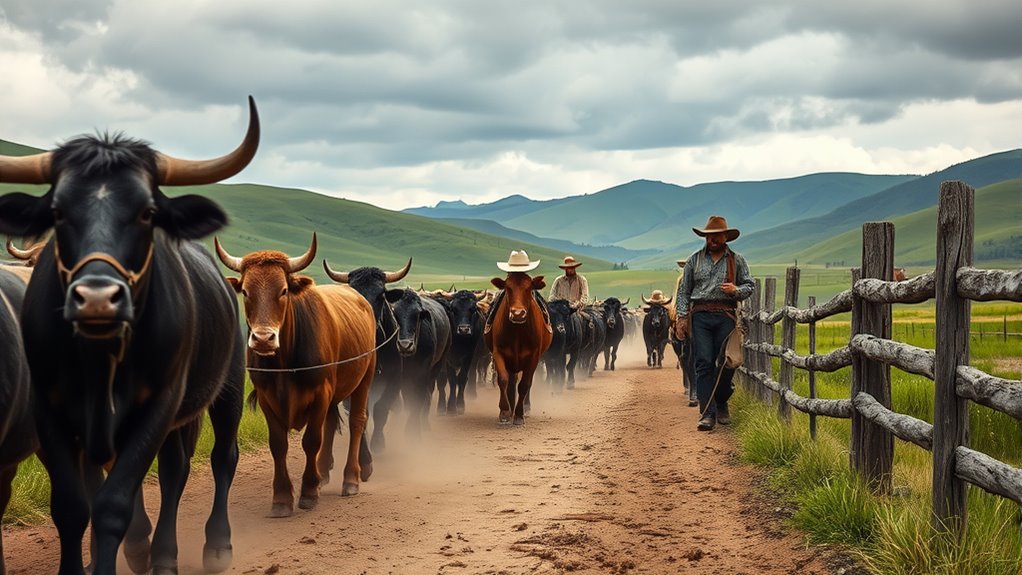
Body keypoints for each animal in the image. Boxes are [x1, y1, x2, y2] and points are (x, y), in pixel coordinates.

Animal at [0, 98, 258, 575]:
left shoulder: (157, 405)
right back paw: (151, 549)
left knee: (215, 460)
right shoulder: (53, 413)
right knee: (175, 468)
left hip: (227, 387)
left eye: (147, 212)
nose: (98, 298)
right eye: (57, 211)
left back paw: (207, 546)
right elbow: (73, 505)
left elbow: (112, 504)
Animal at [216, 234, 377, 517]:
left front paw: (309, 492)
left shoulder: (321, 393)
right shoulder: (267, 398)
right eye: (245, 291)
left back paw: (351, 479)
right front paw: (282, 498)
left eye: (283, 290)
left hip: (364, 380)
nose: (263, 338)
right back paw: (323, 474)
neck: (284, 364)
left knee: (357, 422)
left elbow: (311, 440)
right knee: (331, 423)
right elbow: (278, 444)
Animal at [385, 288, 451, 437]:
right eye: (396, 315)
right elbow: (409, 398)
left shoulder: (423, 373)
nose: (405, 345)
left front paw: (414, 431)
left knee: (429, 393)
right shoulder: (404, 375)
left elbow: (420, 397)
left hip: (438, 364)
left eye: (416, 315)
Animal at [485, 273, 553, 425]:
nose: (517, 314)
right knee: (511, 382)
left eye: (529, 288)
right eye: (507, 288)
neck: (517, 332)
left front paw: (519, 415)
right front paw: (505, 411)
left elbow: (524, 385)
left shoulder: (534, 357)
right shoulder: (499, 352)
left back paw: (525, 407)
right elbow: (503, 380)